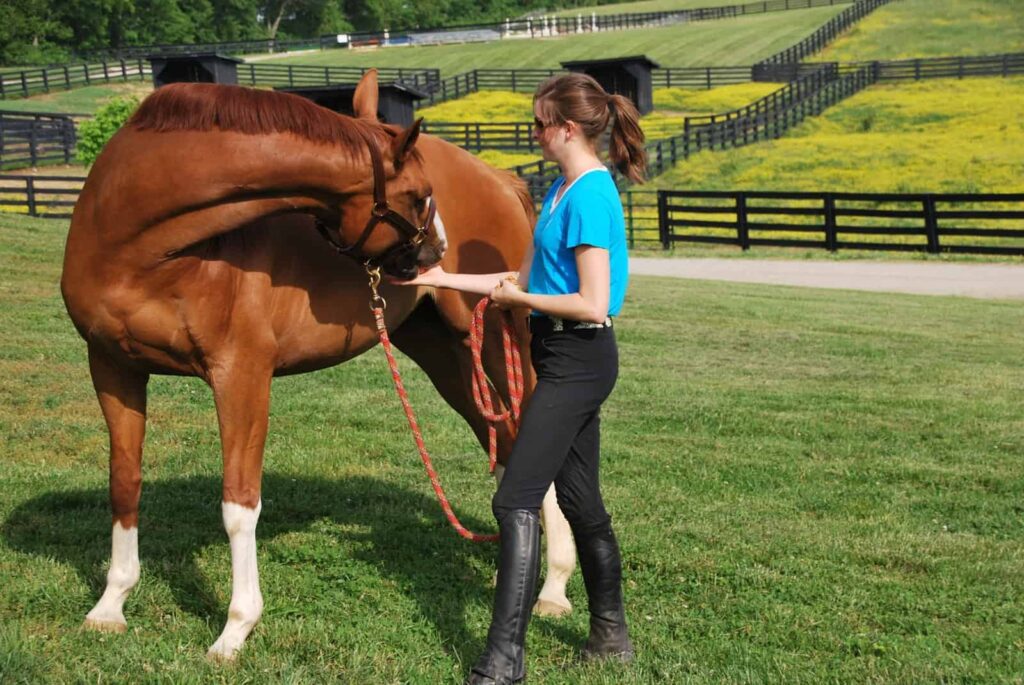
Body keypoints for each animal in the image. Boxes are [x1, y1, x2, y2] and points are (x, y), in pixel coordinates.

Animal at [59, 70, 577, 655]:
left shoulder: (240, 376)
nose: (437, 253)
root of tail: (502, 180)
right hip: (444, 350)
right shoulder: (112, 367)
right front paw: (110, 604)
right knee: (507, 442)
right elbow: (124, 481)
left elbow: (239, 505)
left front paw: (234, 630)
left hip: (494, 336)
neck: (136, 242)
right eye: (418, 196)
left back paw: (554, 588)